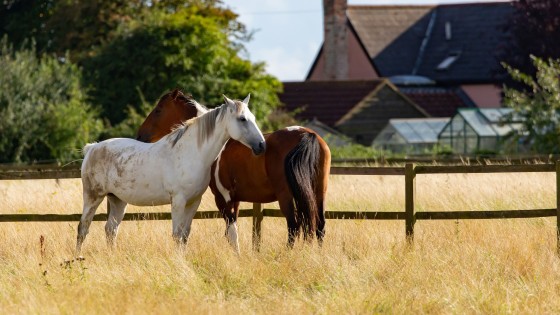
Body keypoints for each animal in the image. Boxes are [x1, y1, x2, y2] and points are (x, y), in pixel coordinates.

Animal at [76, 94, 264, 254]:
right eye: (242, 119)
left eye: (253, 118)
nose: (261, 145)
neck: (192, 153)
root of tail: (92, 148)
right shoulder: (178, 201)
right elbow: (177, 235)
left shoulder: (194, 202)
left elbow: (185, 235)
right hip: (93, 197)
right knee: (83, 228)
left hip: (117, 200)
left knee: (110, 229)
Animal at [137, 89, 330, 252]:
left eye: (158, 110)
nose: (140, 135)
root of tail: (307, 134)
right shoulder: (235, 199)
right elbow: (231, 232)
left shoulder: (223, 199)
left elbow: (231, 232)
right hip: (318, 192)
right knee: (319, 225)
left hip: (287, 195)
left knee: (294, 226)